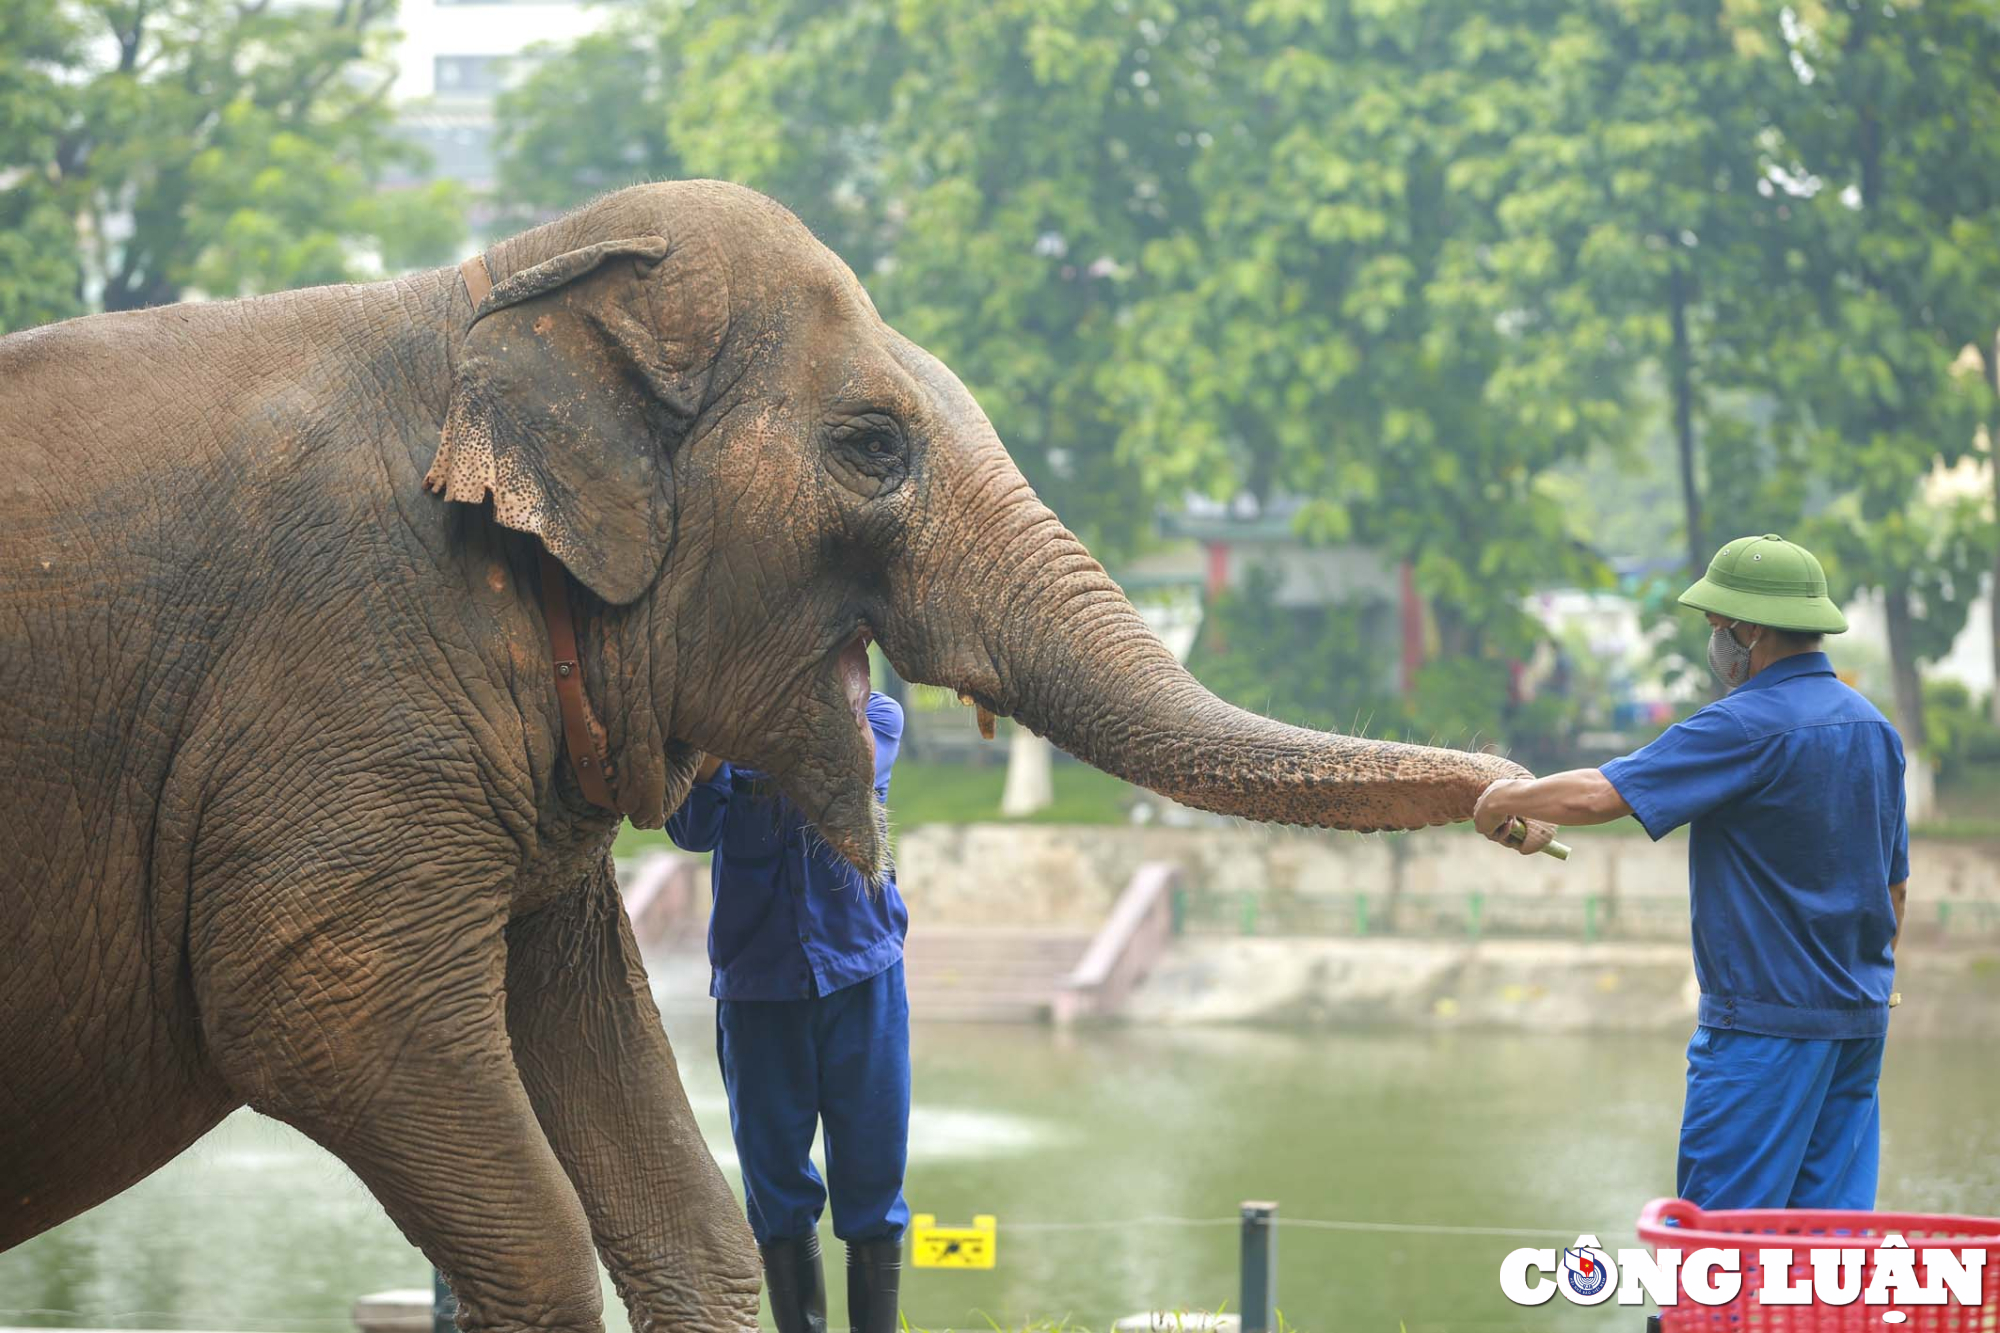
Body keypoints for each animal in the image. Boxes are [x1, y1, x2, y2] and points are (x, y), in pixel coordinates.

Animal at [0, 179, 1544, 1328]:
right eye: (869, 445)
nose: (1519, 806)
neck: (483, 290)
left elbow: (666, 1162)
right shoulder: (346, 673)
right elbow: (327, 1016)